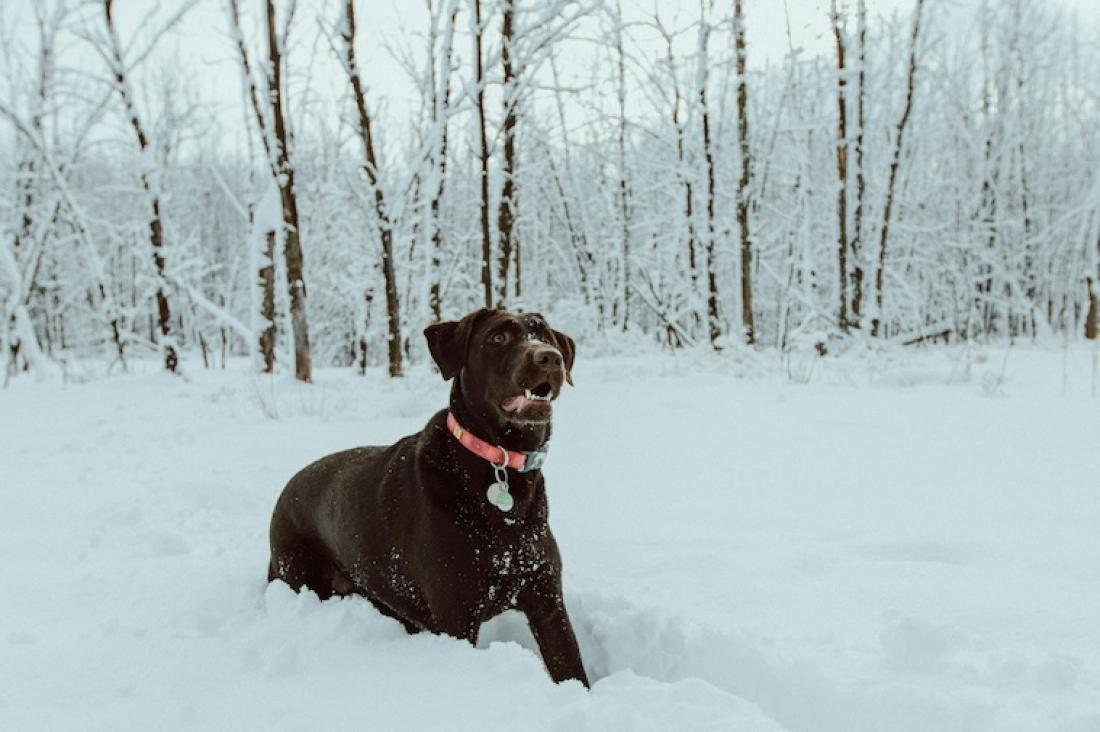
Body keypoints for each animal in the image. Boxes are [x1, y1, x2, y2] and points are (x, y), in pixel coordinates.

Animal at [267, 306, 589, 686]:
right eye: (498, 337)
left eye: (544, 335)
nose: (550, 357)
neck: (501, 466)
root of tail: (286, 488)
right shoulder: (456, 617)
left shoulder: (547, 601)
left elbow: (573, 670)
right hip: (300, 572)